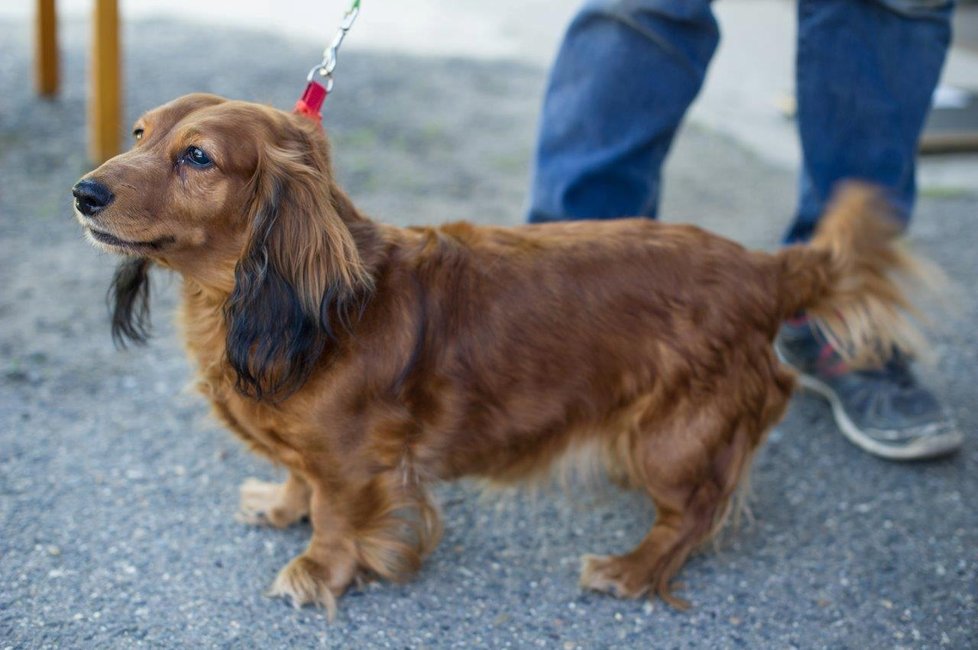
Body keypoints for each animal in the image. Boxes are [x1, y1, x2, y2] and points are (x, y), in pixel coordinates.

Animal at [72, 93, 928, 616]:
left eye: (198, 158)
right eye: (139, 133)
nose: (82, 193)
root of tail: (766, 268)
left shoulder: (356, 460)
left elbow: (340, 516)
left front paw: (316, 570)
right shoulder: (310, 448)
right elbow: (298, 476)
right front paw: (282, 506)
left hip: (674, 437)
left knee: (694, 515)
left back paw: (630, 570)